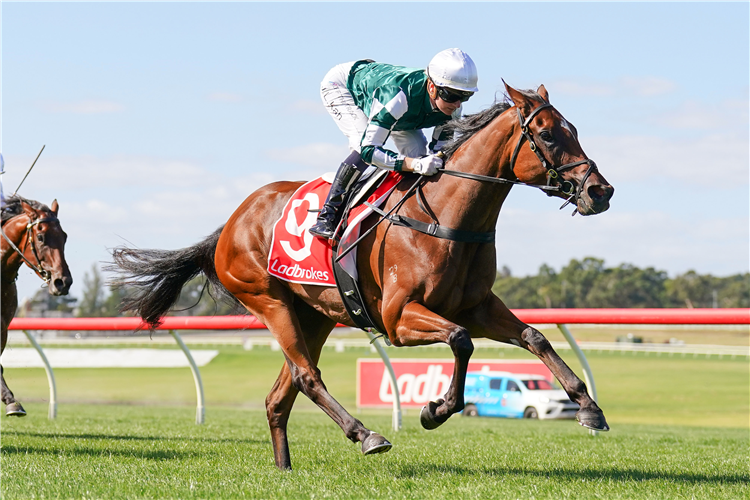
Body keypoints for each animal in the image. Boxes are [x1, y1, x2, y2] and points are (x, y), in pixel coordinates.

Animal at [111, 82, 616, 468]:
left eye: (573, 130)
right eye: (547, 135)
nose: (601, 191)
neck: (446, 218)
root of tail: (231, 223)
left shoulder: (476, 306)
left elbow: (534, 336)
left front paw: (589, 408)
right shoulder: (398, 317)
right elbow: (460, 341)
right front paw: (435, 409)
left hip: (314, 314)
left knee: (281, 394)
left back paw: (284, 467)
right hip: (269, 300)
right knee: (307, 377)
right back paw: (366, 434)